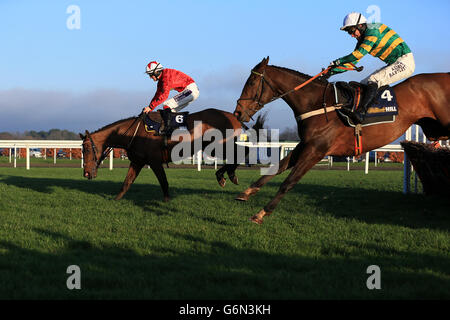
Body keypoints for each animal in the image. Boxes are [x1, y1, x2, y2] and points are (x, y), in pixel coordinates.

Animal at [81, 109, 250, 201]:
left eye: (87, 149)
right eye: (82, 150)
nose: (86, 173)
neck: (134, 133)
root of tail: (234, 116)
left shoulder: (155, 162)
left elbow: (164, 182)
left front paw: (167, 200)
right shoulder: (137, 161)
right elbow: (126, 183)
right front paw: (116, 199)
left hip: (218, 146)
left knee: (242, 152)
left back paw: (225, 175)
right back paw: (227, 174)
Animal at [234, 56, 448, 224]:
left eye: (251, 82)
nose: (238, 113)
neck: (317, 104)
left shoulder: (316, 150)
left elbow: (289, 181)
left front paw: (262, 212)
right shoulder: (305, 145)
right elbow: (277, 168)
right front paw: (246, 192)